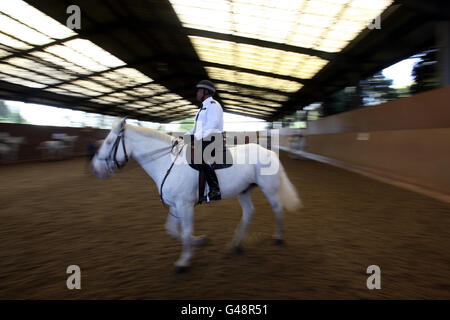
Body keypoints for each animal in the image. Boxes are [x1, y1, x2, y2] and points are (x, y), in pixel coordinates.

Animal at [90, 118, 302, 272]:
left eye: (109, 142)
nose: (95, 169)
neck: (168, 162)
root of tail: (269, 152)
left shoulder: (185, 205)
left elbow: (184, 231)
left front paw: (183, 262)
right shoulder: (176, 205)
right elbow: (173, 230)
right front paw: (199, 241)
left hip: (269, 189)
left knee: (277, 208)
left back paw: (278, 238)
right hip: (243, 191)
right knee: (249, 212)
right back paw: (237, 245)